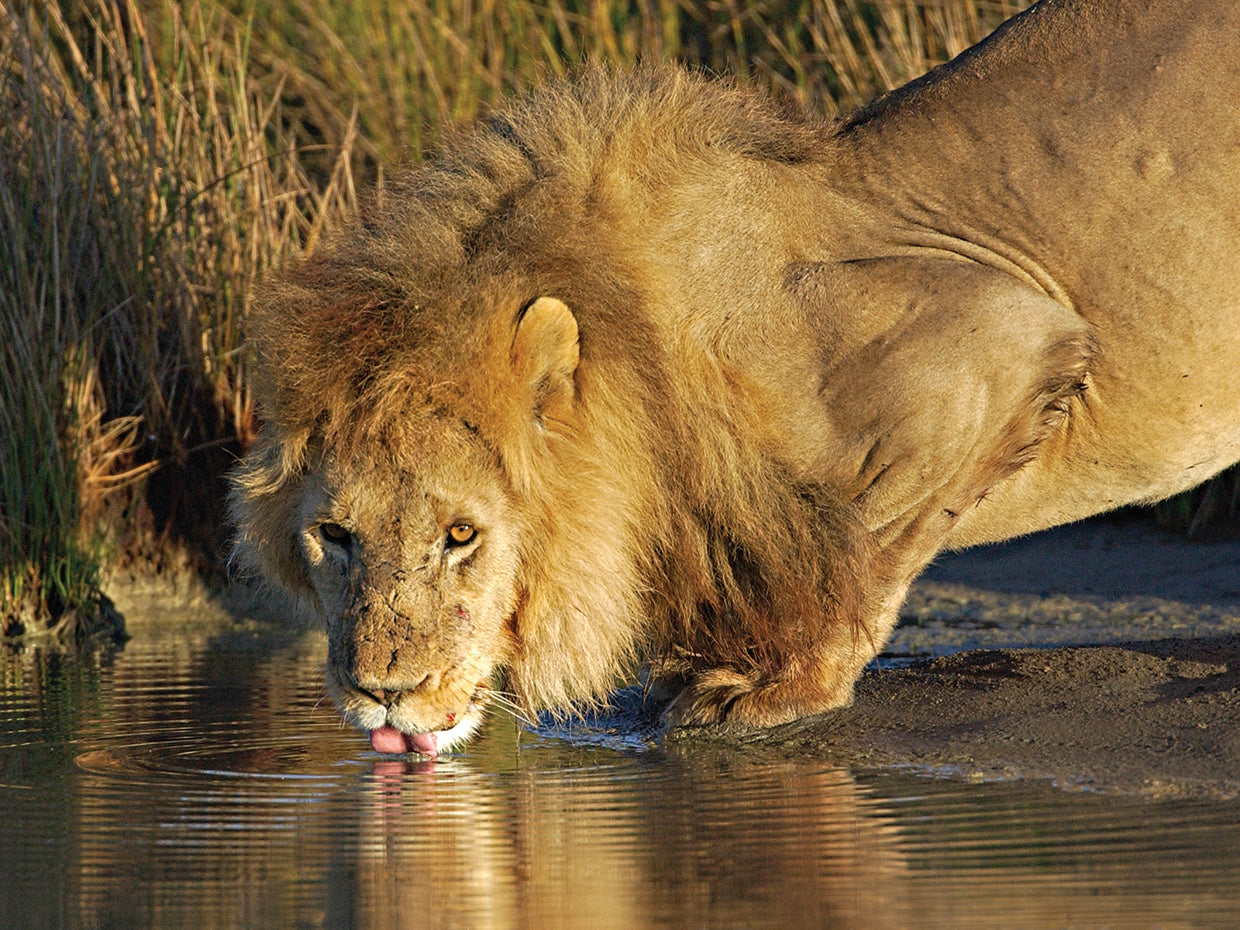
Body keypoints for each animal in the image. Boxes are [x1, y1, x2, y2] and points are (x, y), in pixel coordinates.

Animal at [230, 0, 1240, 756]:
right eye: (334, 534)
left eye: (461, 535)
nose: (383, 693)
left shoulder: (1004, 334)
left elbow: (861, 542)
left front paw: (774, 683)